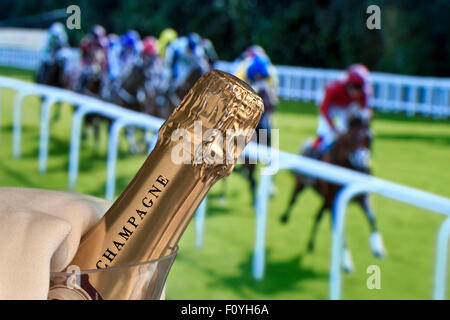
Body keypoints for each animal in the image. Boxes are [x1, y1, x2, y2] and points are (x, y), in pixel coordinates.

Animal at [280, 116, 384, 272]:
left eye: (370, 138)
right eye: (352, 137)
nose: (363, 166)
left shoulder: (361, 197)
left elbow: (372, 217)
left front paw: (378, 248)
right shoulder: (334, 201)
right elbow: (340, 228)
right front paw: (346, 261)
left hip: (325, 199)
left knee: (318, 215)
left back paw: (310, 244)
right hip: (303, 184)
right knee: (294, 198)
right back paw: (285, 217)